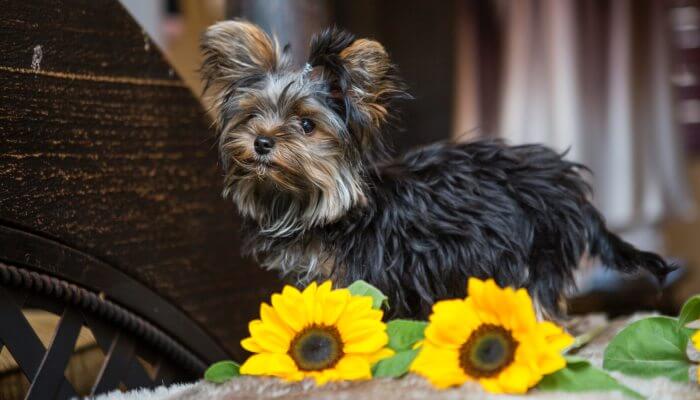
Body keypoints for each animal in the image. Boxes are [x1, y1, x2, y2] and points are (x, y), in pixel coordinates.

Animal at [201, 21, 672, 318]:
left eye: (306, 125)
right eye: (253, 116)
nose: (262, 142)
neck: (317, 208)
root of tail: (566, 185)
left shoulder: (371, 276)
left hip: (532, 248)